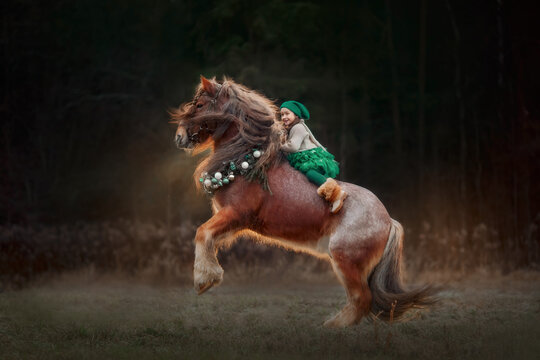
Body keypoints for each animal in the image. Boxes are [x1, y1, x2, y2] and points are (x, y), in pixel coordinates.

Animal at [173, 76, 438, 330]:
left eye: (199, 105)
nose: (179, 137)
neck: (247, 162)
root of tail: (388, 220)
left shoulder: (235, 214)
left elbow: (201, 232)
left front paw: (204, 280)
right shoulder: (234, 223)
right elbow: (208, 237)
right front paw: (209, 273)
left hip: (346, 262)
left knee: (362, 299)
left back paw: (331, 326)